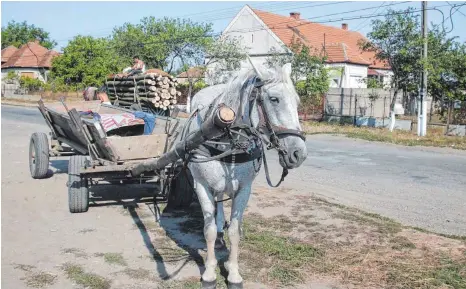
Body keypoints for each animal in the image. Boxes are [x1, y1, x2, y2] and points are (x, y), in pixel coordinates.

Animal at [177, 63, 308, 288]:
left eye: (297, 101)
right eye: (274, 99)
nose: (298, 153)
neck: (225, 141)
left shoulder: (244, 189)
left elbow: (234, 232)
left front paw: (233, 272)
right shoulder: (202, 186)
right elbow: (209, 230)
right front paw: (209, 273)